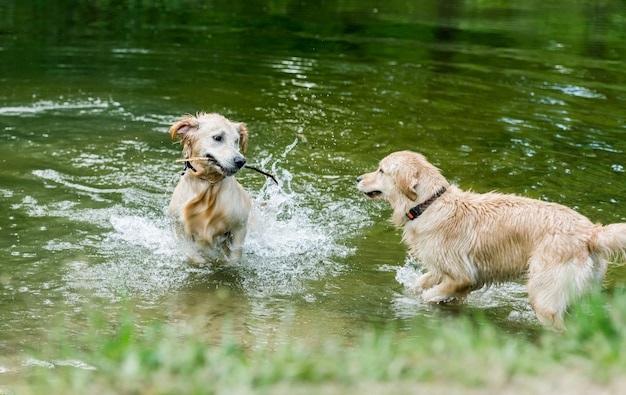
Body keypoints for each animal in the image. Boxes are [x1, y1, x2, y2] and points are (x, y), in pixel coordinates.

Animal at [169, 113, 252, 264]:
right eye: (218, 137)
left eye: (236, 140)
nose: (240, 161)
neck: (208, 184)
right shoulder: (180, 227)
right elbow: (193, 254)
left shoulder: (240, 227)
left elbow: (234, 257)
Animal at [356, 150, 624, 330]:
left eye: (381, 170)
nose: (358, 178)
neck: (429, 204)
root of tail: (591, 232)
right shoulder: (440, 268)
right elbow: (420, 283)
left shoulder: (462, 277)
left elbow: (428, 296)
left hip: (543, 295)